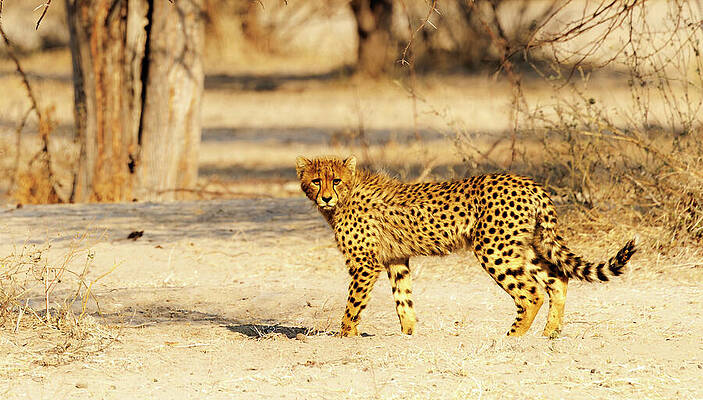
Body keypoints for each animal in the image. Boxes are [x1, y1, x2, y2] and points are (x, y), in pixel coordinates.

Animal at [296, 155, 637, 338]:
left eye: (335, 180)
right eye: (316, 181)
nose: (326, 197)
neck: (347, 195)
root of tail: (528, 182)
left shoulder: (365, 264)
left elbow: (354, 304)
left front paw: (345, 335)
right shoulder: (396, 259)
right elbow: (403, 300)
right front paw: (408, 333)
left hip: (494, 249)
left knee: (531, 293)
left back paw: (512, 337)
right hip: (525, 245)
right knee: (558, 279)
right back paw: (550, 332)